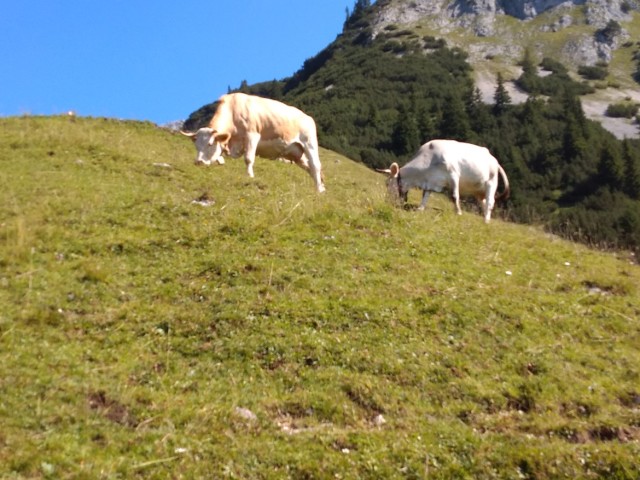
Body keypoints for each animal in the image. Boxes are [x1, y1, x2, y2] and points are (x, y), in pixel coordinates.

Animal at [182, 93, 328, 192]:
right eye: (196, 146)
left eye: (210, 144)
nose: (199, 162)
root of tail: (308, 117)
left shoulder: (252, 135)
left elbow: (248, 158)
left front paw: (250, 176)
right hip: (296, 153)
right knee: (310, 168)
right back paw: (320, 188)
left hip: (309, 143)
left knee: (315, 165)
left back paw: (319, 190)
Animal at [380, 138, 510, 222]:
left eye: (387, 183)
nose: (386, 201)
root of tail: (494, 160)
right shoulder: (430, 181)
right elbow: (425, 195)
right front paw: (420, 208)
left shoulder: (453, 175)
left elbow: (454, 196)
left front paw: (458, 212)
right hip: (478, 190)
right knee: (483, 202)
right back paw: (484, 218)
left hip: (491, 183)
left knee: (490, 202)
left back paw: (486, 220)